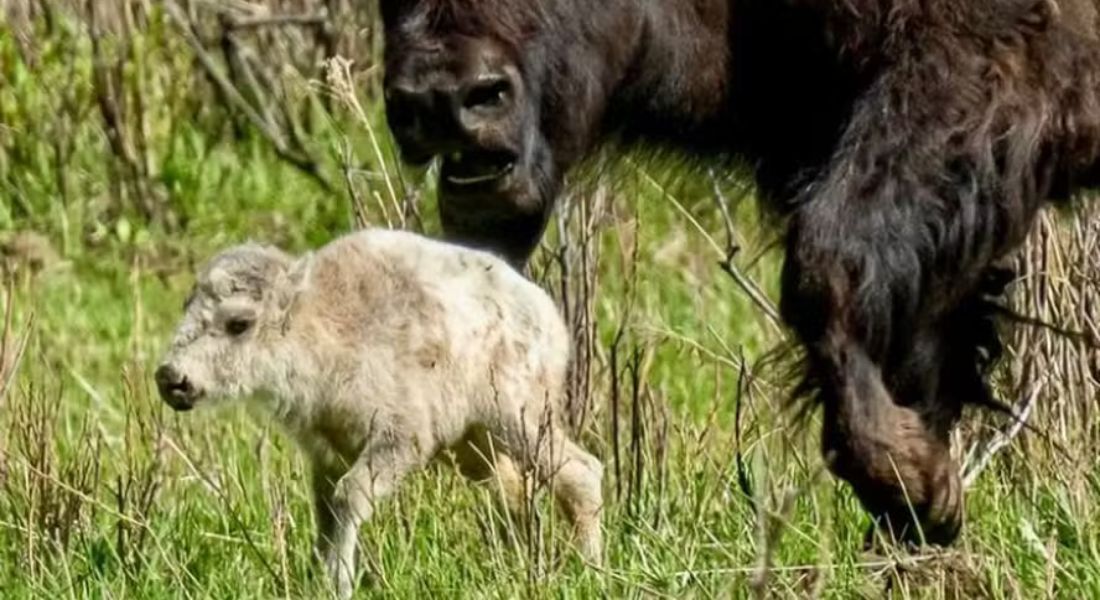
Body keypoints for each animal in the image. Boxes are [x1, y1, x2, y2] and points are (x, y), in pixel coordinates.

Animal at [154, 227, 602, 594]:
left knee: (580, 472)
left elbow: (348, 497)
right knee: (515, 493)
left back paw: (588, 568)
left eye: (239, 324)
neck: (322, 324)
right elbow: (325, 514)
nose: (171, 377)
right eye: (186, 306)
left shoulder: (400, 439)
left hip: (519, 417)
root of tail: (546, 313)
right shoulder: (327, 454)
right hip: (475, 446)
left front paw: (339, 582)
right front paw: (319, 578)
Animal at [376, 0, 1100, 541]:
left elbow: (825, 263)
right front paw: (921, 508)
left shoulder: (968, 78)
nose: (447, 98)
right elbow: (919, 351)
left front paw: (912, 482)